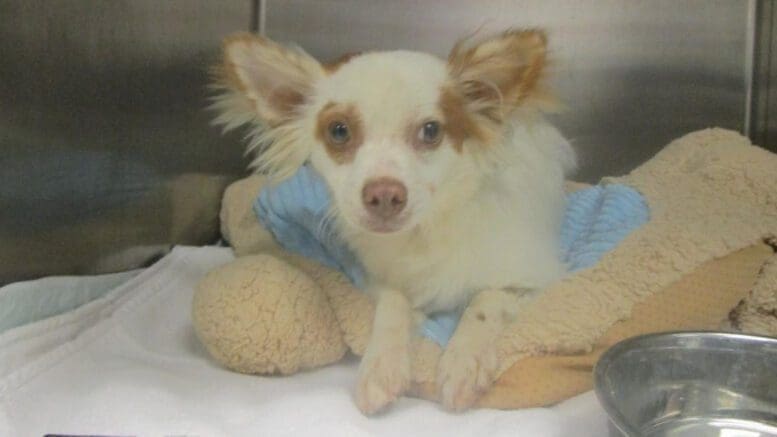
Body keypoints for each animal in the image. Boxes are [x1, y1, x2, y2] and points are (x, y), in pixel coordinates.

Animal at [212, 29, 576, 412]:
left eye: (430, 130)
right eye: (339, 131)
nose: (384, 194)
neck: (423, 233)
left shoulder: (529, 278)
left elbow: (485, 301)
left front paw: (464, 362)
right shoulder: (380, 279)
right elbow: (392, 304)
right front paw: (381, 364)